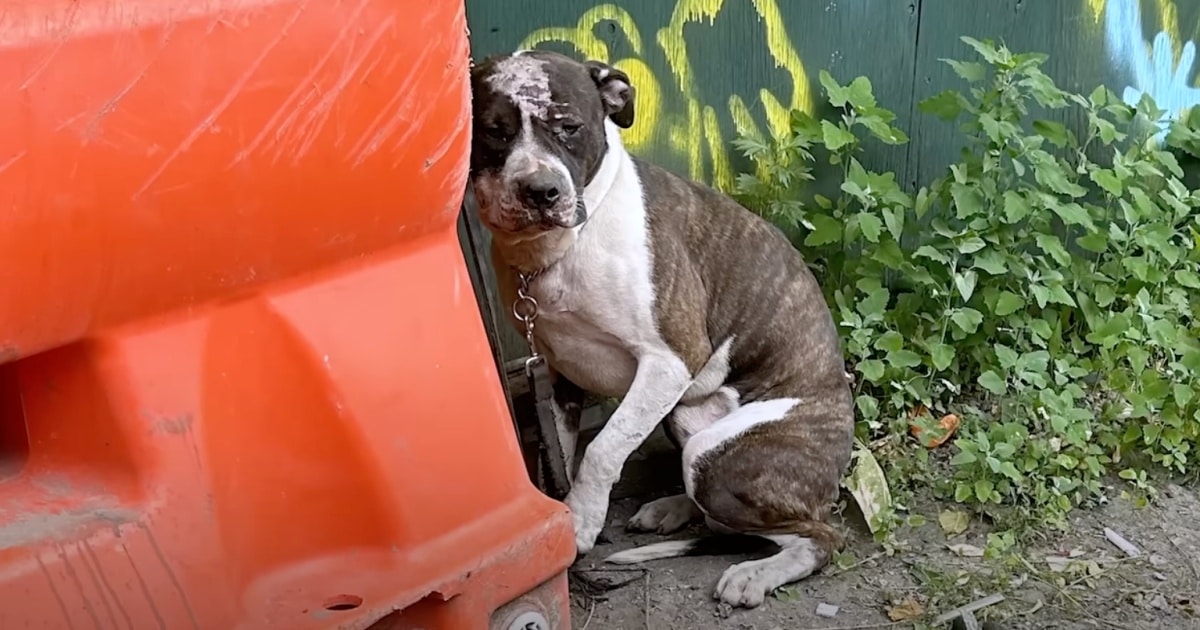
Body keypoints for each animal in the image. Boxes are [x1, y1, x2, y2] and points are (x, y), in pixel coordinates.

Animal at [465, 51, 854, 607]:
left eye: (570, 127)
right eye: (494, 132)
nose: (542, 191)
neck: (564, 248)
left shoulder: (670, 360)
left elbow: (604, 447)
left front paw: (581, 520)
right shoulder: (557, 375)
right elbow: (556, 453)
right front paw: (564, 511)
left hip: (718, 457)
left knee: (816, 535)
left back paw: (757, 572)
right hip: (687, 422)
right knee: (724, 517)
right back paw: (672, 508)